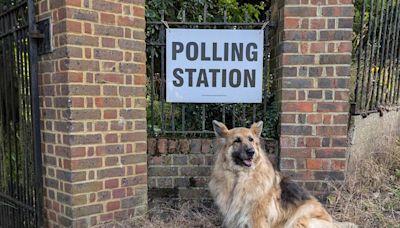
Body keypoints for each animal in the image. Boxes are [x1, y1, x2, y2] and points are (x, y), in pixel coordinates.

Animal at [208, 120, 358, 227]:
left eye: (251, 140)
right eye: (237, 140)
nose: (251, 152)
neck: (239, 178)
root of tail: (333, 222)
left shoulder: (257, 219)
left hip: (298, 218)